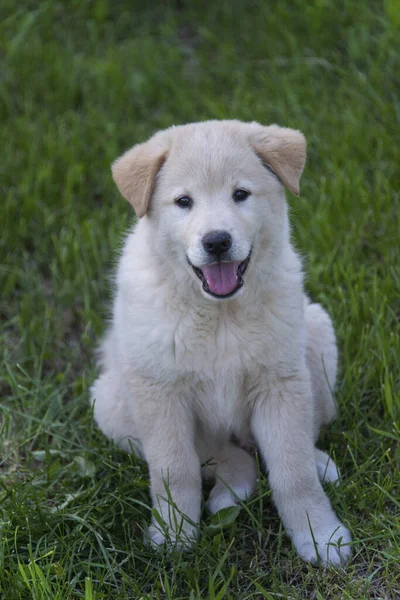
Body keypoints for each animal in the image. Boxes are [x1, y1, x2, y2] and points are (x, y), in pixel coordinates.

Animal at [90, 119, 350, 564]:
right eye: (183, 202)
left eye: (240, 194)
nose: (216, 242)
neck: (219, 314)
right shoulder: (160, 392)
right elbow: (174, 470)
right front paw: (174, 535)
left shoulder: (280, 382)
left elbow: (293, 468)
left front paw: (320, 536)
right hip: (110, 399)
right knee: (228, 457)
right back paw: (232, 489)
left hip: (316, 338)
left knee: (291, 439)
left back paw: (317, 465)